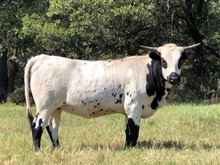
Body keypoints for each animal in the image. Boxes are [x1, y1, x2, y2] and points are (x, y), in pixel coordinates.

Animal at [24, 42, 199, 151]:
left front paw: (127, 148)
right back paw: (37, 151)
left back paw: (58, 149)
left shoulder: (128, 109)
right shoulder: (134, 106)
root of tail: (42, 57)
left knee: (52, 128)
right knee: (37, 126)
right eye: (163, 60)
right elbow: (134, 130)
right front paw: (132, 150)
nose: (174, 77)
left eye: (180, 61)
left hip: (56, 107)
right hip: (44, 106)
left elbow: (128, 130)